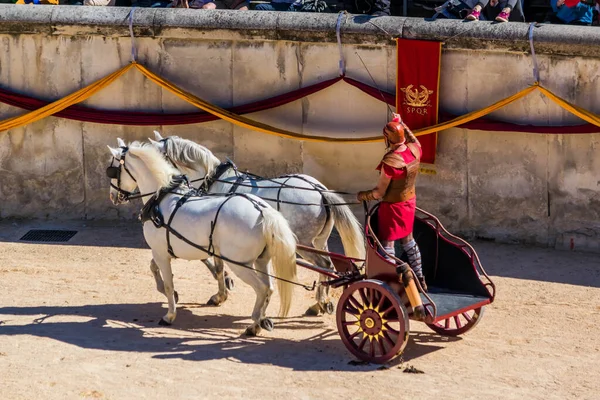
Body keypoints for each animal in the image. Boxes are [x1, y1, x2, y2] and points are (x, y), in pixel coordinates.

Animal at [107, 141, 298, 334]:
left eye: (112, 169)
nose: (112, 196)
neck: (162, 197)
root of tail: (262, 210)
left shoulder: (160, 252)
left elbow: (168, 283)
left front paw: (169, 315)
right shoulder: (166, 251)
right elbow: (155, 268)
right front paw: (177, 295)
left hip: (240, 264)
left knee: (262, 288)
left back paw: (254, 323)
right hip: (262, 260)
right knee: (270, 288)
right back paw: (259, 321)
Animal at [150, 131, 366, 316]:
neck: (217, 180)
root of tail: (320, 189)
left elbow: (212, 264)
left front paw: (220, 293)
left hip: (303, 243)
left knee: (324, 265)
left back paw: (318, 303)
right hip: (320, 241)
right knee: (329, 266)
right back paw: (321, 302)